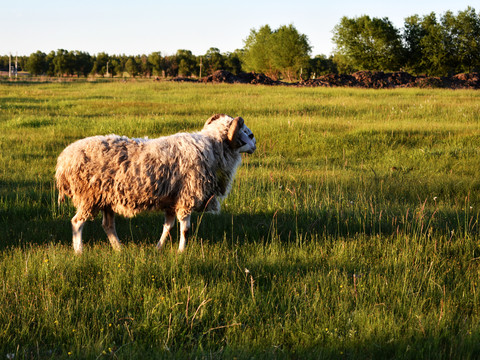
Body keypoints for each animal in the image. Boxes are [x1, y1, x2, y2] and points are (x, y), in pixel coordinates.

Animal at [54, 114, 256, 255]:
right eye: (245, 132)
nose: (254, 143)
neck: (213, 148)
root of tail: (63, 161)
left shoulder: (172, 201)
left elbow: (168, 227)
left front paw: (158, 248)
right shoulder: (186, 197)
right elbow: (185, 229)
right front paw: (181, 252)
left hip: (106, 199)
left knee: (108, 225)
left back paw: (119, 249)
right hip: (89, 196)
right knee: (77, 222)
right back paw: (79, 252)